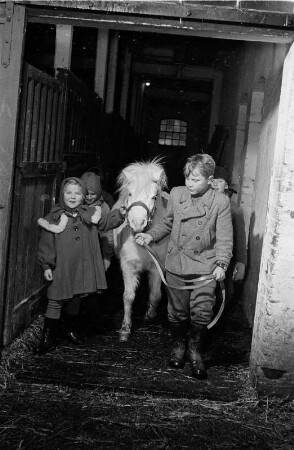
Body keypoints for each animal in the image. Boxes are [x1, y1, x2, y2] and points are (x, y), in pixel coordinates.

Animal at [112, 160, 169, 340]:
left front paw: (149, 316)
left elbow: (155, 295)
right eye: (130, 194)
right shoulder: (128, 266)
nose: (137, 223)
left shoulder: (157, 268)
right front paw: (125, 328)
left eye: (154, 197)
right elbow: (128, 296)